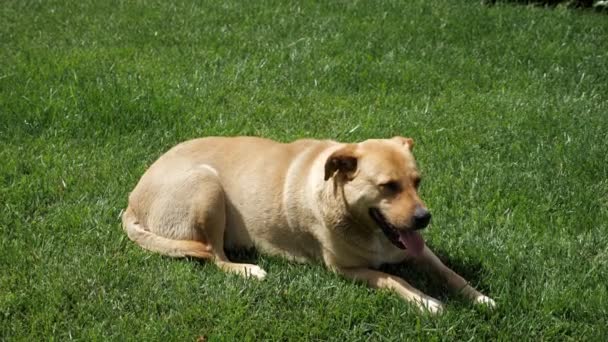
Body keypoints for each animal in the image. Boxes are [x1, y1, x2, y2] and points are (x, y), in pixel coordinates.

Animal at [122, 136, 494, 312]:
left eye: (417, 182)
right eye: (388, 186)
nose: (423, 218)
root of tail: (131, 199)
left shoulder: (418, 250)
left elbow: (450, 272)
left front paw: (479, 298)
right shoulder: (345, 270)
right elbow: (393, 279)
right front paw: (426, 302)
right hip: (207, 184)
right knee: (215, 256)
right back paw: (247, 269)